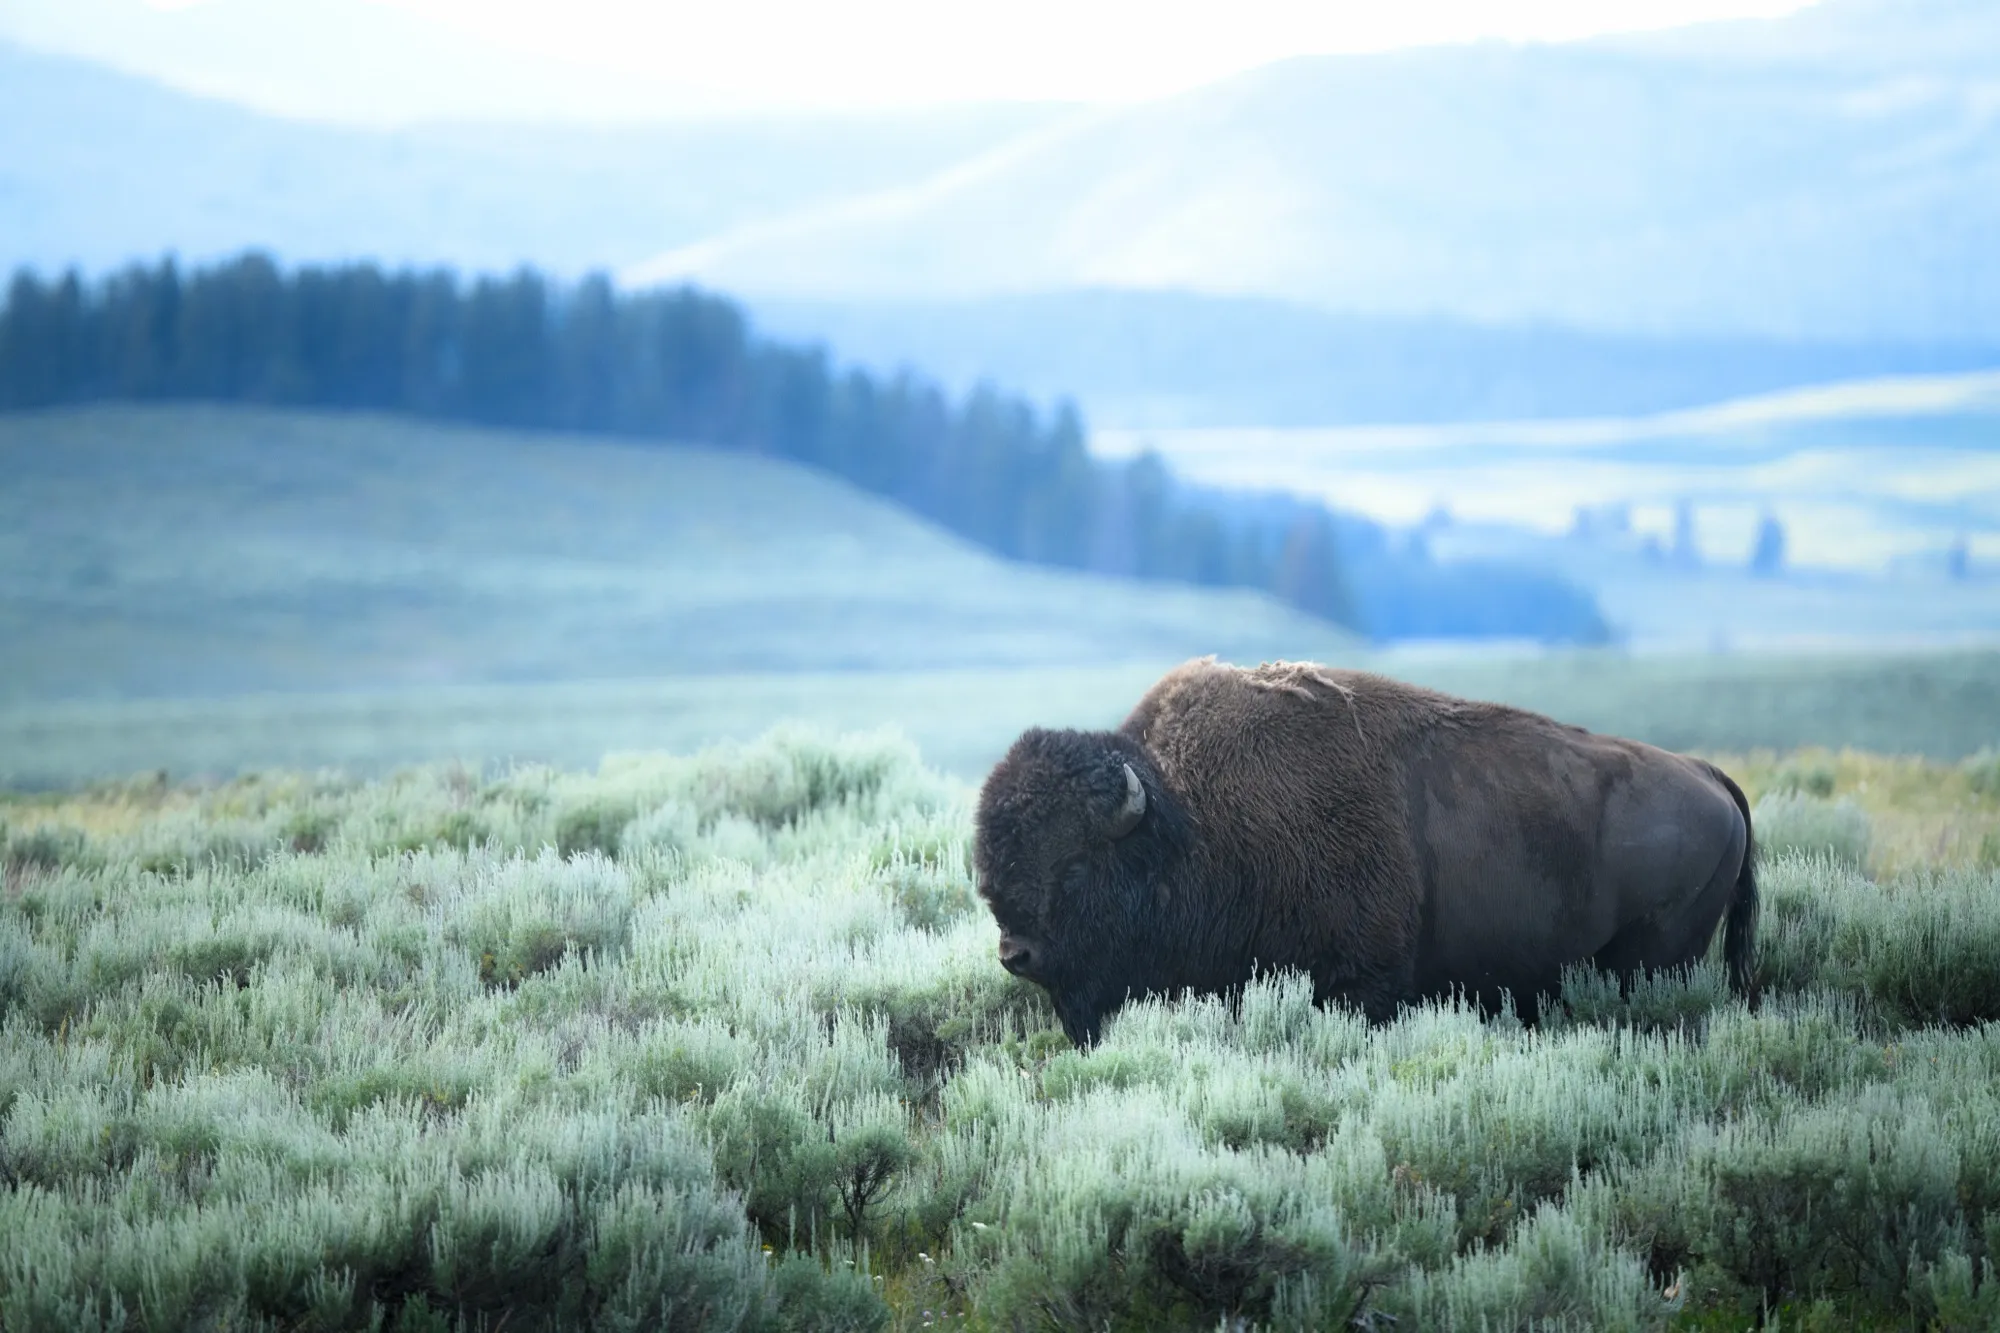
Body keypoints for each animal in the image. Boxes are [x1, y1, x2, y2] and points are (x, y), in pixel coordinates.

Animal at [974, 657, 1758, 1046]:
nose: (1016, 953)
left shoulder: (1358, 982)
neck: (1187, 821)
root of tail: (1711, 777)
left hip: (1655, 961)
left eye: (1075, 863)